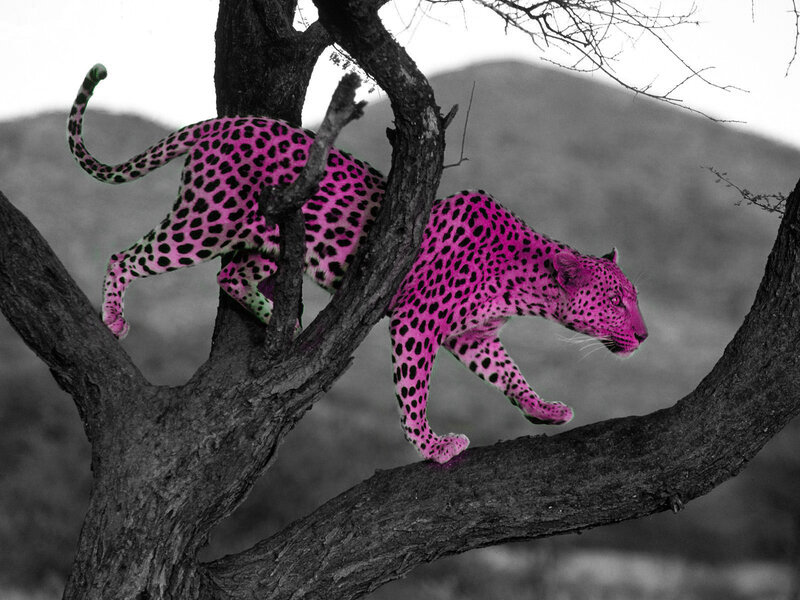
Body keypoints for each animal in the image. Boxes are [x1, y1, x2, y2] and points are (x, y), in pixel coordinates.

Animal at [67, 64, 647, 464]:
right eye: (619, 301)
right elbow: (413, 391)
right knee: (129, 255)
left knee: (231, 274)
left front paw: (542, 408)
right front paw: (432, 445)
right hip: (206, 221)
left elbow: (510, 373)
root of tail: (224, 122)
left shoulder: (474, 335)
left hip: (265, 238)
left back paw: (284, 322)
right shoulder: (418, 321)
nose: (643, 336)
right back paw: (115, 316)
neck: (525, 286)